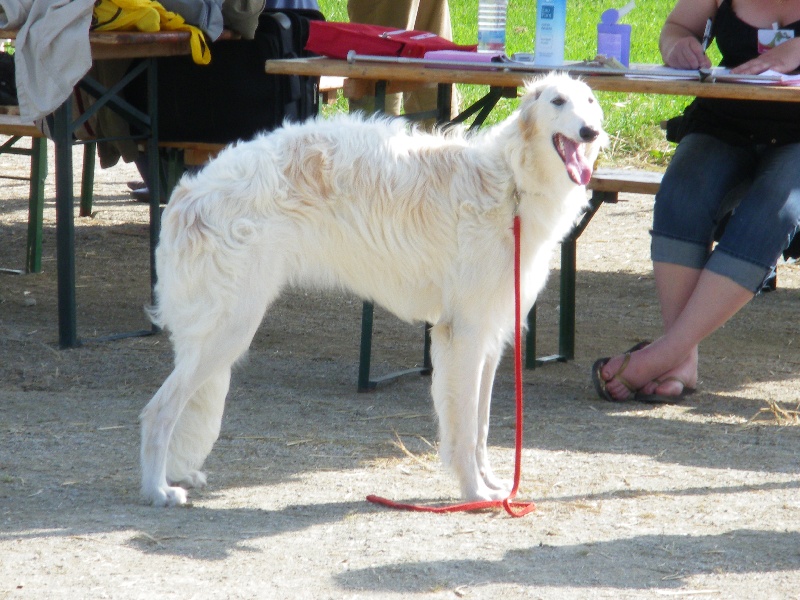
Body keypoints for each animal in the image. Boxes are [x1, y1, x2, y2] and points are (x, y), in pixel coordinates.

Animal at [142, 74, 608, 506]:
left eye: (589, 101)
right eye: (557, 100)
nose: (590, 132)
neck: (511, 182)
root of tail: (187, 194)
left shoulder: (491, 335)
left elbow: (481, 427)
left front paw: (493, 486)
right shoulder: (464, 333)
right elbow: (464, 428)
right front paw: (474, 493)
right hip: (230, 328)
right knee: (157, 412)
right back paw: (158, 489)